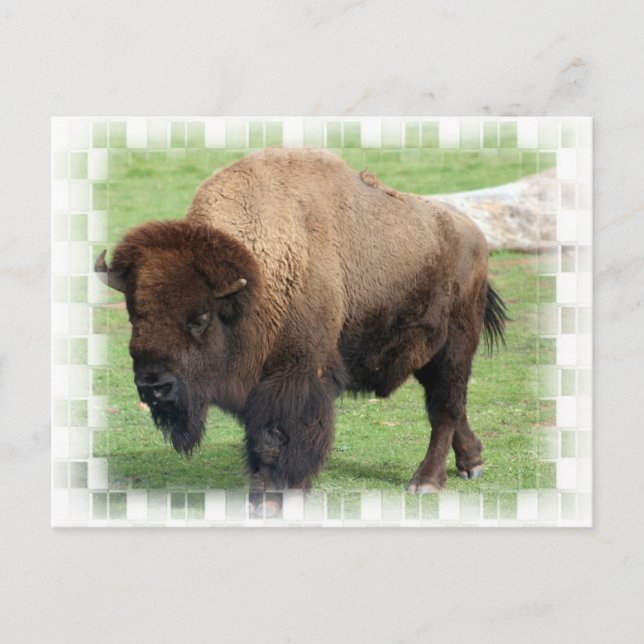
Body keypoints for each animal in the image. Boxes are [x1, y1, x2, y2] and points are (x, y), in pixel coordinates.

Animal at [95, 148, 507, 514]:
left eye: (200, 318)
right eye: (134, 315)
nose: (153, 386)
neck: (254, 283)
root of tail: (474, 234)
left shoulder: (293, 375)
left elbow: (273, 438)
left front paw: (272, 499)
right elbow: (259, 439)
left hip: (454, 347)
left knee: (445, 409)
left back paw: (426, 482)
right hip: (427, 354)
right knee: (452, 404)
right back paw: (472, 463)